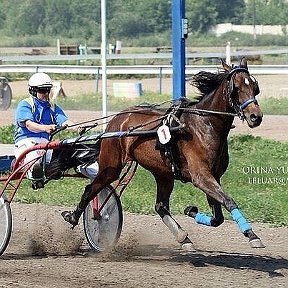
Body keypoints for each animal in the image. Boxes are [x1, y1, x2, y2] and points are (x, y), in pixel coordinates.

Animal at [62, 58, 264, 250]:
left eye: (255, 87)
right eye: (236, 87)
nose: (256, 116)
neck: (204, 124)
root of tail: (116, 119)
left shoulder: (214, 176)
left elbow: (218, 218)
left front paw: (191, 211)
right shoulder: (201, 176)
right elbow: (229, 201)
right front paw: (252, 236)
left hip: (163, 173)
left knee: (160, 206)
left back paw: (183, 237)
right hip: (111, 166)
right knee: (91, 189)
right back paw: (77, 216)